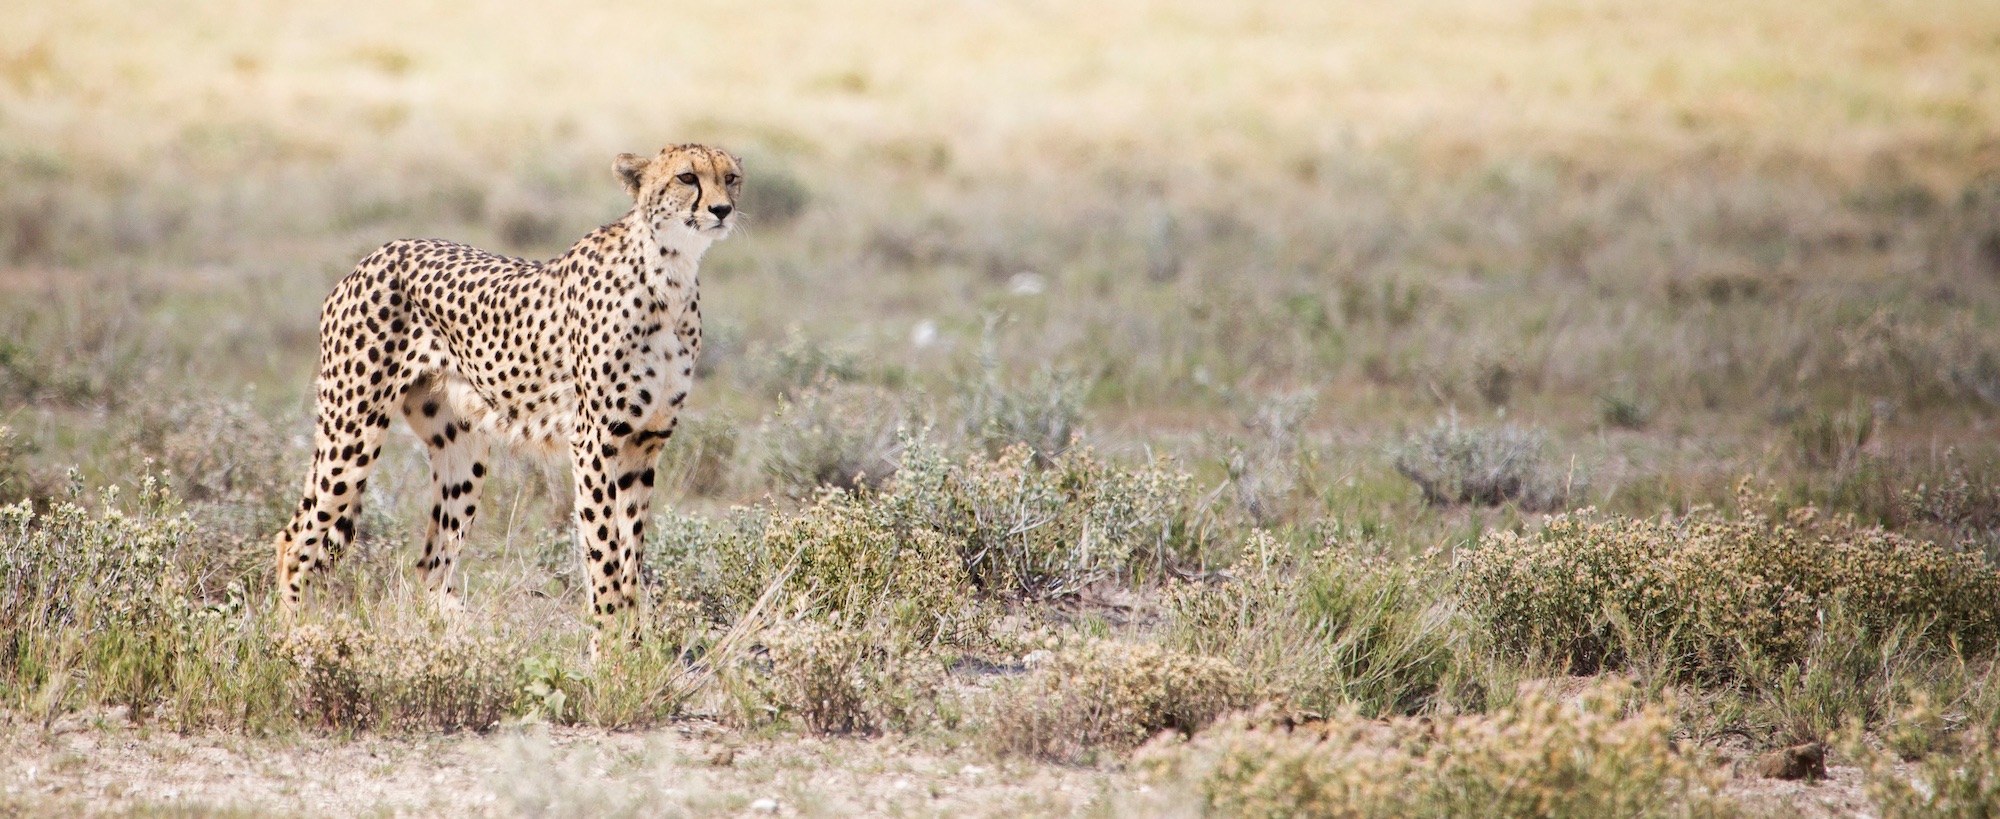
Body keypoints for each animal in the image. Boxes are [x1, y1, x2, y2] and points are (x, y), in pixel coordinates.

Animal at [272, 143, 742, 649]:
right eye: (687, 177)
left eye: (731, 178)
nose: (722, 209)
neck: (670, 274)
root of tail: (376, 254)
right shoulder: (596, 441)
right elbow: (604, 553)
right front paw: (607, 648)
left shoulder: (644, 444)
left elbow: (631, 553)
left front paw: (635, 646)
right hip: (352, 431)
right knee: (294, 539)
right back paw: (289, 637)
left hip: (461, 450)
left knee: (433, 563)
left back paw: (457, 646)